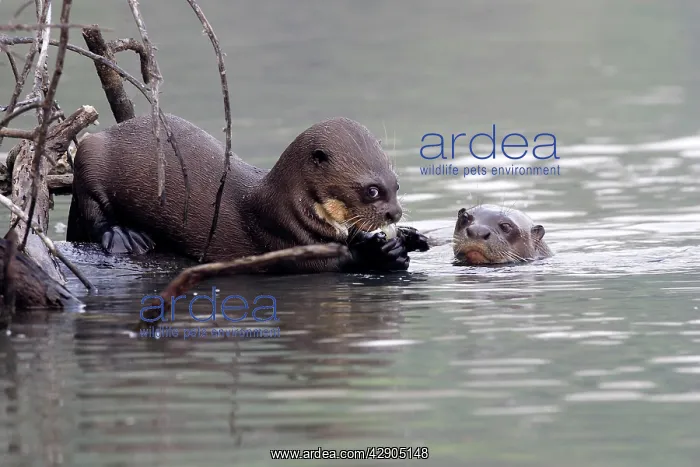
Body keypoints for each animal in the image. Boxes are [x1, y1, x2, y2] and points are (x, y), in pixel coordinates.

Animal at [66, 114, 428, 273]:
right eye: (371, 190)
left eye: (396, 184)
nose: (394, 213)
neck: (289, 205)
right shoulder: (282, 234)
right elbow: (324, 262)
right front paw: (379, 253)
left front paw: (410, 236)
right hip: (90, 156)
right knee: (93, 209)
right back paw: (125, 236)